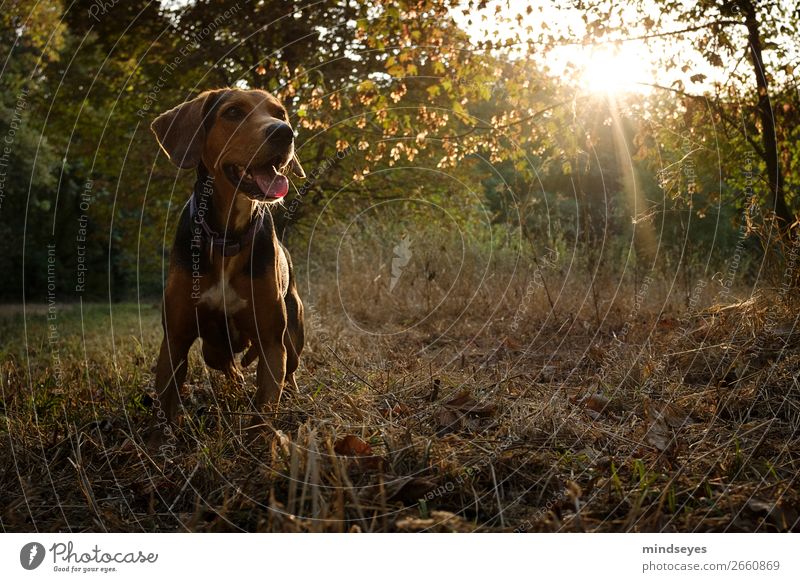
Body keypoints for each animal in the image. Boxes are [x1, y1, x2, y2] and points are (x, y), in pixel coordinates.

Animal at [148, 88, 304, 434]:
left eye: (280, 113)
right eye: (232, 112)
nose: (284, 132)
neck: (227, 236)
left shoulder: (272, 341)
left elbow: (265, 410)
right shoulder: (175, 339)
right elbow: (166, 405)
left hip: (294, 333)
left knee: (291, 368)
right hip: (212, 349)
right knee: (228, 365)